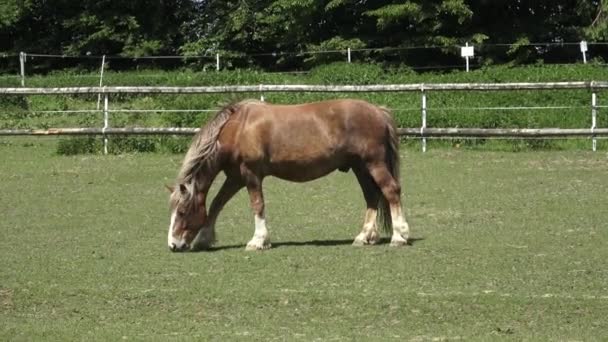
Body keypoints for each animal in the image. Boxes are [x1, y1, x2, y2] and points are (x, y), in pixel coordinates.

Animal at [167, 99, 408, 251]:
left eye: (182, 212)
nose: (173, 245)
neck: (238, 129)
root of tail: (378, 111)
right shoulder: (235, 177)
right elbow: (217, 203)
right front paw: (203, 239)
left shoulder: (250, 174)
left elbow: (257, 205)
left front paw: (258, 241)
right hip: (361, 167)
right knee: (372, 196)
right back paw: (364, 236)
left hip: (374, 164)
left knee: (391, 191)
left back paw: (399, 236)